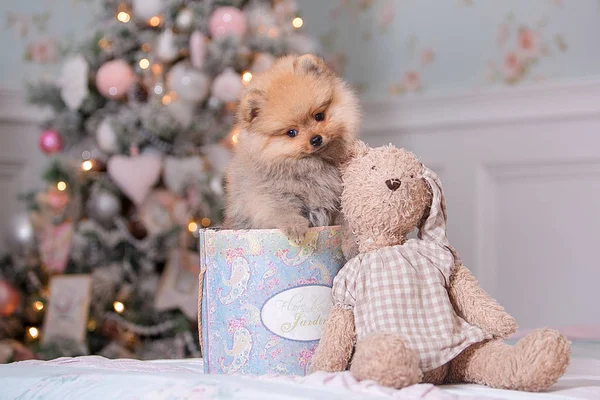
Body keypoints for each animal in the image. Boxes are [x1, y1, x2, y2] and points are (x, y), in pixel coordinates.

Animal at [221, 53, 358, 244]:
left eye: (319, 116)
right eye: (291, 132)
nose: (316, 139)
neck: (308, 165)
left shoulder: (337, 198)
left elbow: (346, 220)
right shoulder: (270, 195)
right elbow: (282, 211)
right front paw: (295, 229)